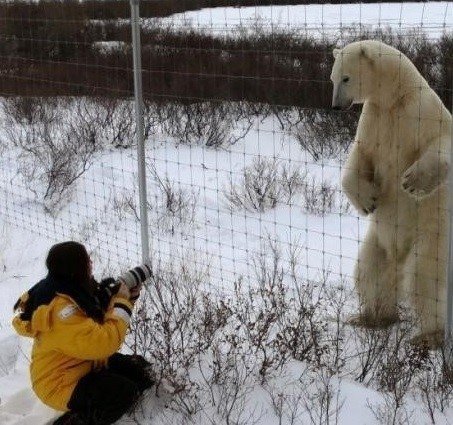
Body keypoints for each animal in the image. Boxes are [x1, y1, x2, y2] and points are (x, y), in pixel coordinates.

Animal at [330, 40, 450, 344]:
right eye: (332, 78)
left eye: (346, 78)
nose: (336, 106)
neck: (395, 98)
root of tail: (400, 254)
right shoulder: (372, 119)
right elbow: (359, 157)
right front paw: (368, 200)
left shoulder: (420, 112)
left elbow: (441, 142)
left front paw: (412, 182)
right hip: (378, 243)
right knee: (370, 272)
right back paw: (373, 317)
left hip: (432, 234)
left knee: (424, 279)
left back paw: (429, 336)